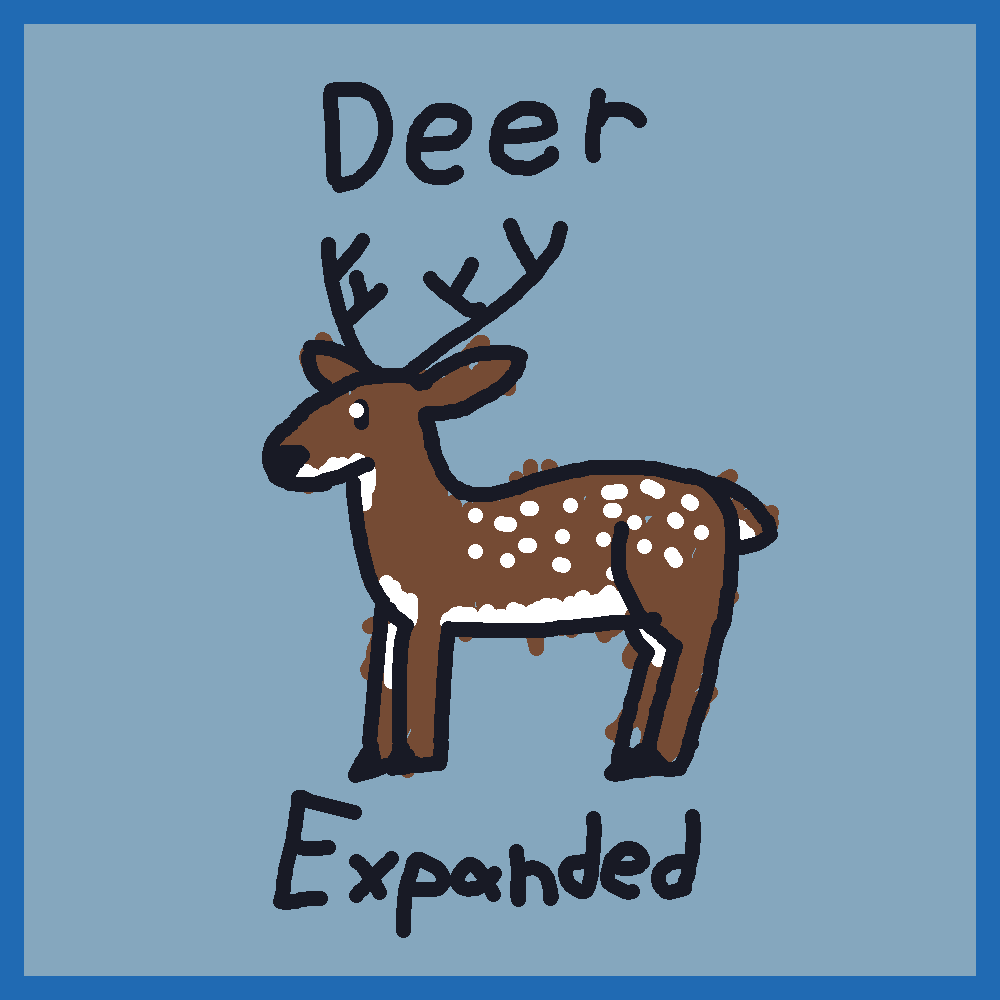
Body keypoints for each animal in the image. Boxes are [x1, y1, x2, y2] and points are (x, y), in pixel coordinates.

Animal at [262, 218, 778, 784]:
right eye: (326, 395)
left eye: (362, 411)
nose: (282, 456)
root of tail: (727, 503)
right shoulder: (393, 614)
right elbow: (384, 685)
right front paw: (369, 766)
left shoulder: (433, 607)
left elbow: (421, 690)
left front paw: (419, 764)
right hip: (649, 604)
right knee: (664, 655)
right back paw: (627, 758)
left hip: (677, 582)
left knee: (695, 654)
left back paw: (656, 763)